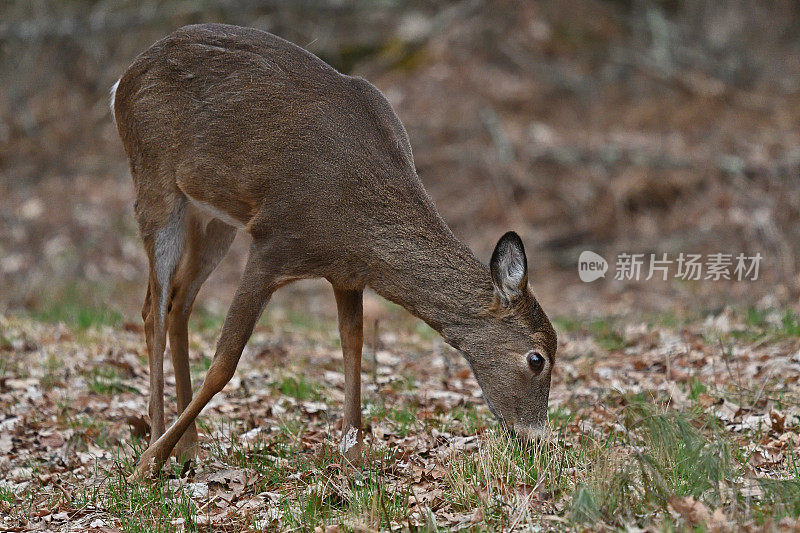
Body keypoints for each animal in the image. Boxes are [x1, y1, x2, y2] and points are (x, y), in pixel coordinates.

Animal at [111, 22, 556, 478]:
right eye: (537, 358)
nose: (536, 441)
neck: (353, 222)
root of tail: (122, 81)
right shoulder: (274, 241)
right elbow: (224, 362)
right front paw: (148, 463)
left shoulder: (346, 273)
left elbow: (353, 342)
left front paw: (353, 457)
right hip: (154, 178)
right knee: (152, 309)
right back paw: (155, 444)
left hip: (214, 218)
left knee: (178, 302)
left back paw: (189, 448)